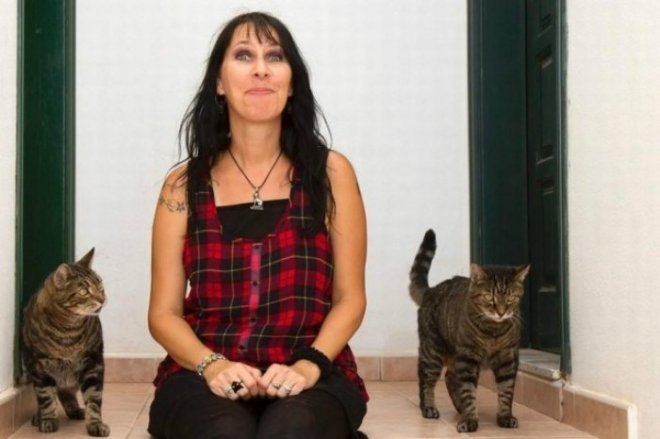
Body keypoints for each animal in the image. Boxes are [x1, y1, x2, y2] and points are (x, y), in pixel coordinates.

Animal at [22, 248, 110, 437]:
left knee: (66, 393)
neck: (69, 330)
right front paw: (48, 420)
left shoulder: (93, 362)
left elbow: (94, 398)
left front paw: (95, 424)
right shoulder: (39, 366)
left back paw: (75, 409)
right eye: (84, 292)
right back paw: (38, 416)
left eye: (100, 284)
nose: (102, 298)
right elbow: (46, 397)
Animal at [409, 229, 530, 433]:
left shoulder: (508, 358)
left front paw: (505, 417)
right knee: (426, 378)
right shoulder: (467, 357)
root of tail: (431, 290)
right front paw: (470, 419)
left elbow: (506, 391)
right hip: (433, 351)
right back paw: (429, 408)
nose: (501, 312)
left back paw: (459, 407)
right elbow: (468, 390)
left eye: (511, 298)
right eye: (489, 297)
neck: (493, 331)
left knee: (449, 377)